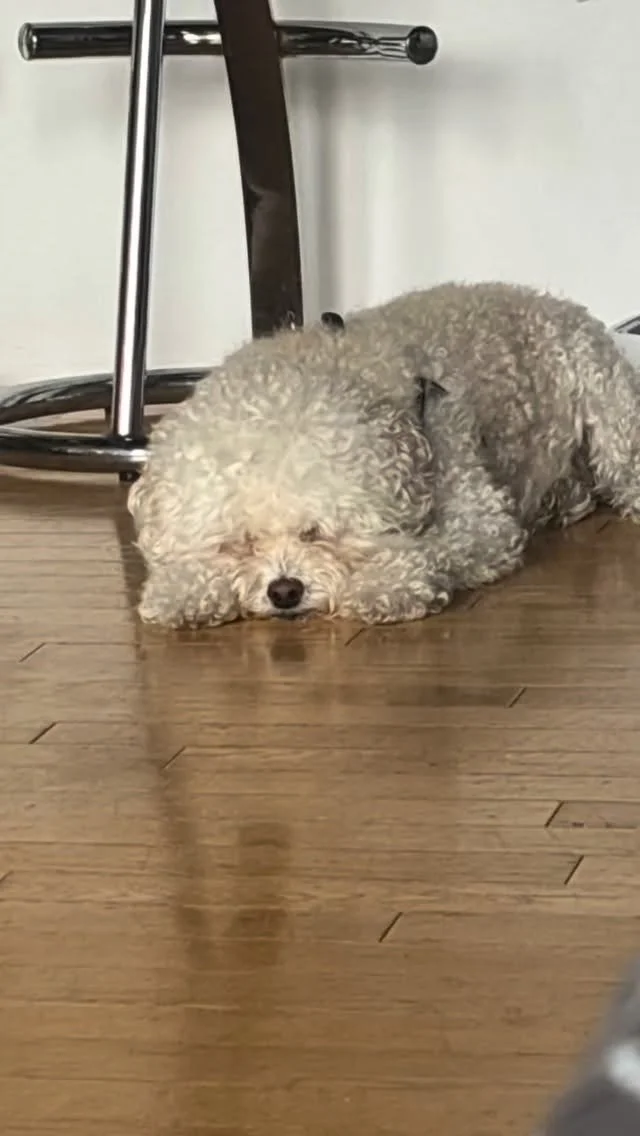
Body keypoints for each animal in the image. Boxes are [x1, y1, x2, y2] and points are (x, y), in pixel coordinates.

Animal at [128, 282, 640, 628]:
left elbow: (433, 549)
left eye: (315, 532)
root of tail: (561, 304)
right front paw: (182, 590)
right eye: (242, 541)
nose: (285, 591)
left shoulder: (481, 519)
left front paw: (384, 584)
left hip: (609, 409)